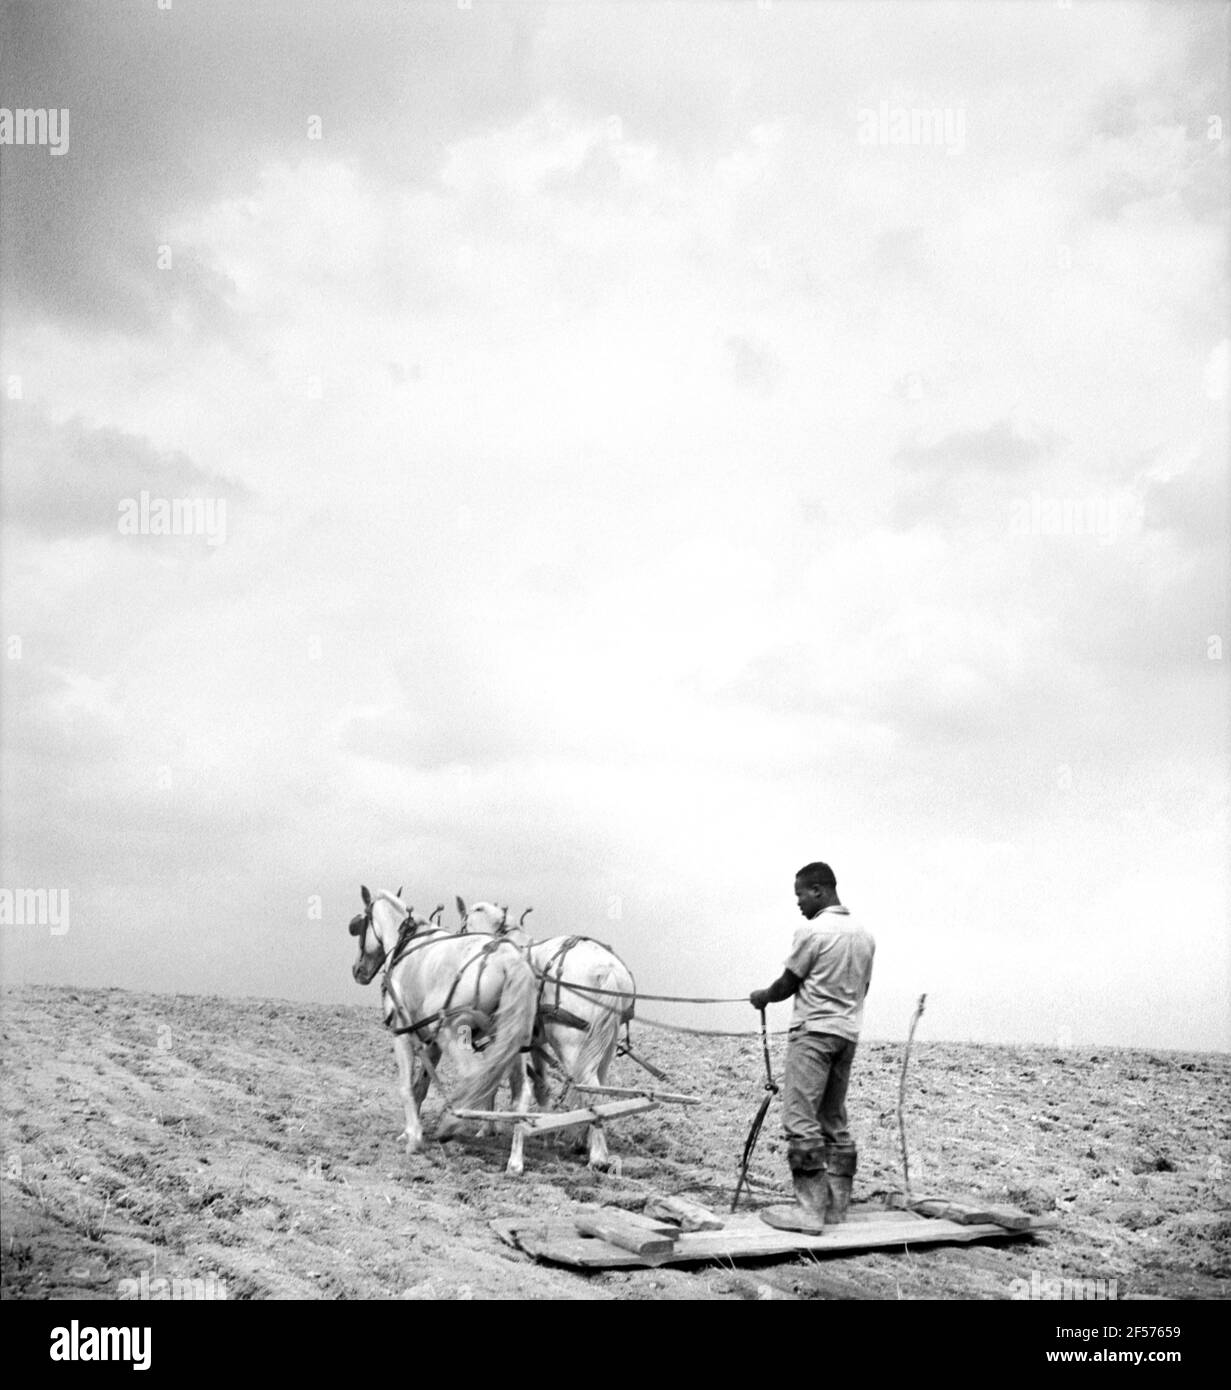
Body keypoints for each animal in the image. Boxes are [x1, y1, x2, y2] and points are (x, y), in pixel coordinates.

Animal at [348, 889, 536, 1173]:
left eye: (361, 925)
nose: (357, 971)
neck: (406, 943)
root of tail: (506, 959)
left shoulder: (402, 1032)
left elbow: (406, 1086)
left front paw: (414, 1138)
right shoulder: (432, 1041)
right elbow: (420, 1087)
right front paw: (408, 1131)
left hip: (455, 1034)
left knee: (474, 1077)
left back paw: (450, 1124)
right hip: (512, 1042)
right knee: (520, 1093)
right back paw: (514, 1162)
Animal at [461, 895, 636, 1167]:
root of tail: (606, 968)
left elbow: (494, 1079)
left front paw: (486, 1128)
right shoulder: (536, 1041)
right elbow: (541, 1083)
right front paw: (546, 1134)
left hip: (571, 1043)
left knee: (588, 1087)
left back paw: (597, 1156)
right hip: (604, 1043)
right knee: (598, 1086)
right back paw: (582, 1142)